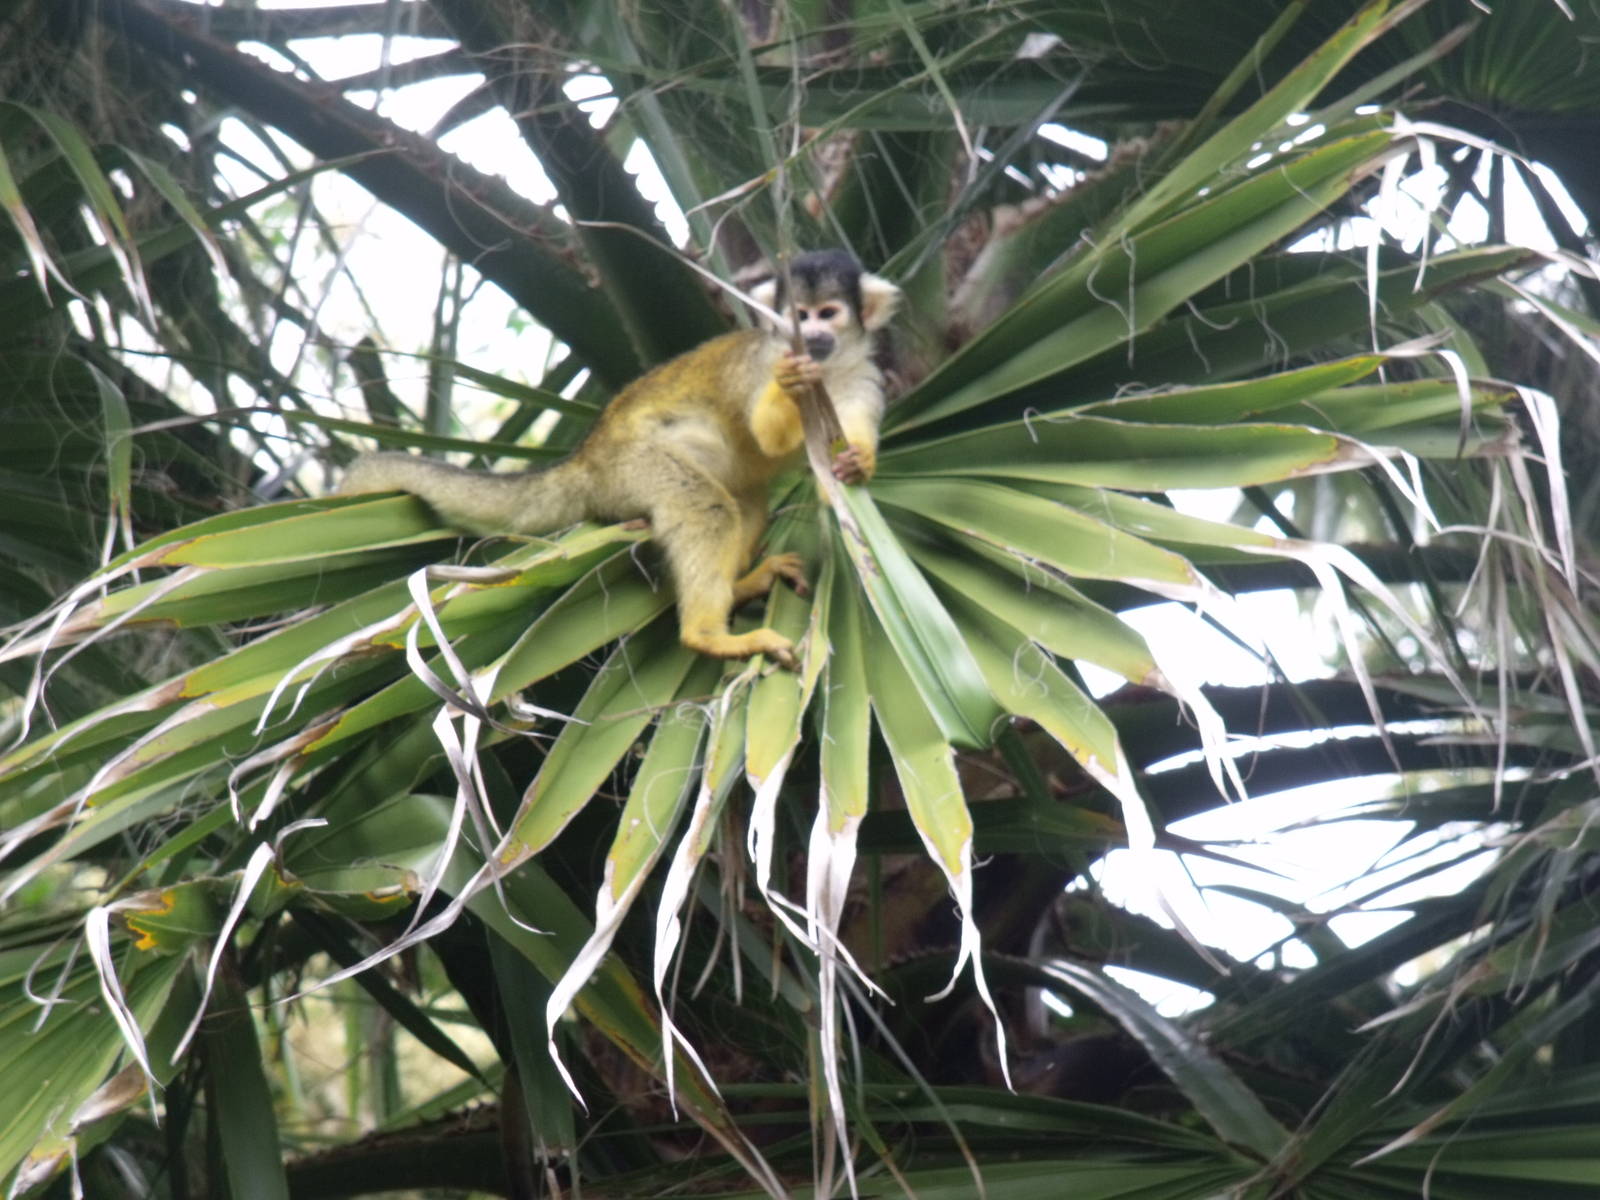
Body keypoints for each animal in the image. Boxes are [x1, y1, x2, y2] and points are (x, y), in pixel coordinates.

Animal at [341, 250, 901, 670]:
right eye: (797, 319)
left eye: (827, 314)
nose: (813, 338)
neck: (829, 370)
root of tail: (586, 457)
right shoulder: (760, 364)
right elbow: (764, 436)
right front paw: (793, 380)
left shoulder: (864, 375)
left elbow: (833, 470)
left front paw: (857, 464)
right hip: (635, 465)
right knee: (705, 505)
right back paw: (707, 634)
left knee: (742, 502)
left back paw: (740, 585)